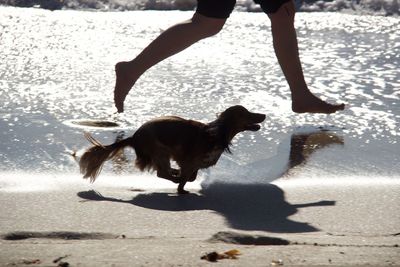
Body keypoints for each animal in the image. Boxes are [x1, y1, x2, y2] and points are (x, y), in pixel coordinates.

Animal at [79, 105, 266, 195]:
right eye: (247, 113)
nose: (264, 115)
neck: (217, 133)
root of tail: (135, 137)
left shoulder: (192, 163)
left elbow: (191, 177)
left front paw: (181, 177)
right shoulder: (189, 161)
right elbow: (184, 179)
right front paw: (181, 188)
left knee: (164, 172)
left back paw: (174, 173)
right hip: (160, 151)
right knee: (161, 173)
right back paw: (174, 177)